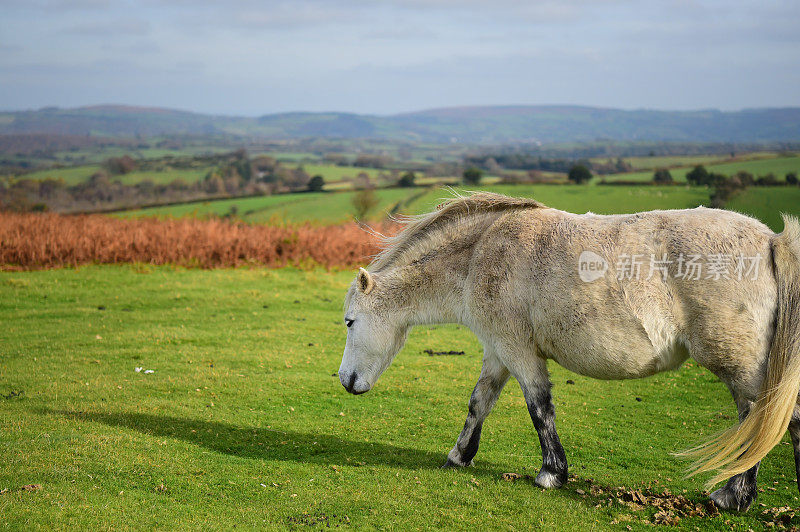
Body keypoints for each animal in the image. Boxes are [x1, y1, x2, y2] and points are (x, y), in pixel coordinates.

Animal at [338, 192, 800, 512]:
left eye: (349, 322)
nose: (345, 381)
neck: (479, 254)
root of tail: (771, 241)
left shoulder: (518, 352)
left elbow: (539, 407)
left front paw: (551, 474)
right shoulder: (499, 353)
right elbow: (478, 402)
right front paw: (459, 455)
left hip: (738, 365)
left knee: (763, 420)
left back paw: (732, 497)